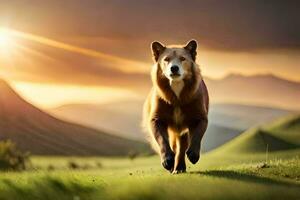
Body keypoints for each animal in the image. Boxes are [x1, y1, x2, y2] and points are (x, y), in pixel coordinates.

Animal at [143, 39, 209, 173]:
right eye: (166, 59)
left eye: (183, 58)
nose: (174, 68)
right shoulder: (156, 119)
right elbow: (162, 139)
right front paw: (167, 160)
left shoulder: (200, 117)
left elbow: (198, 134)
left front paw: (193, 154)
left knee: (181, 148)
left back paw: (179, 167)